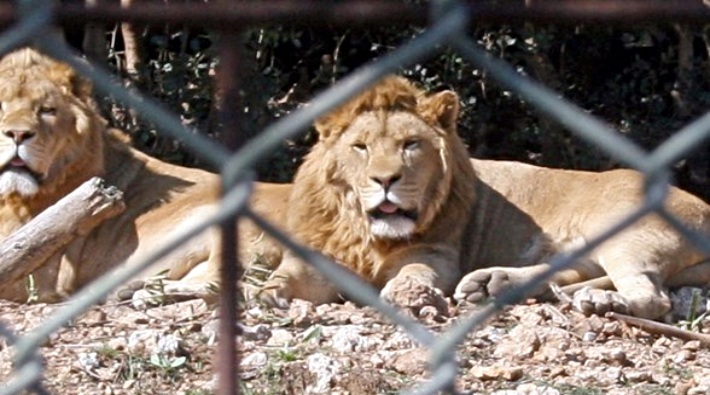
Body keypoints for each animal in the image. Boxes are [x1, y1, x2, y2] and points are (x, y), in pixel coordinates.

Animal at [262, 76, 710, 320]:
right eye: (361, 147)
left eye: (411, 145)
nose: (386, 179)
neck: (365, 231)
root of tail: (704, 207)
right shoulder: (316, 258)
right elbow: (283, 279)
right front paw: (261, 295)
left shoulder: (435, 254)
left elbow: (415, 274)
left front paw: (406, 296)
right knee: (572, 272)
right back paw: (495, 284)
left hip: (625, 232)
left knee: (652, 297)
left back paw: (601, 302)